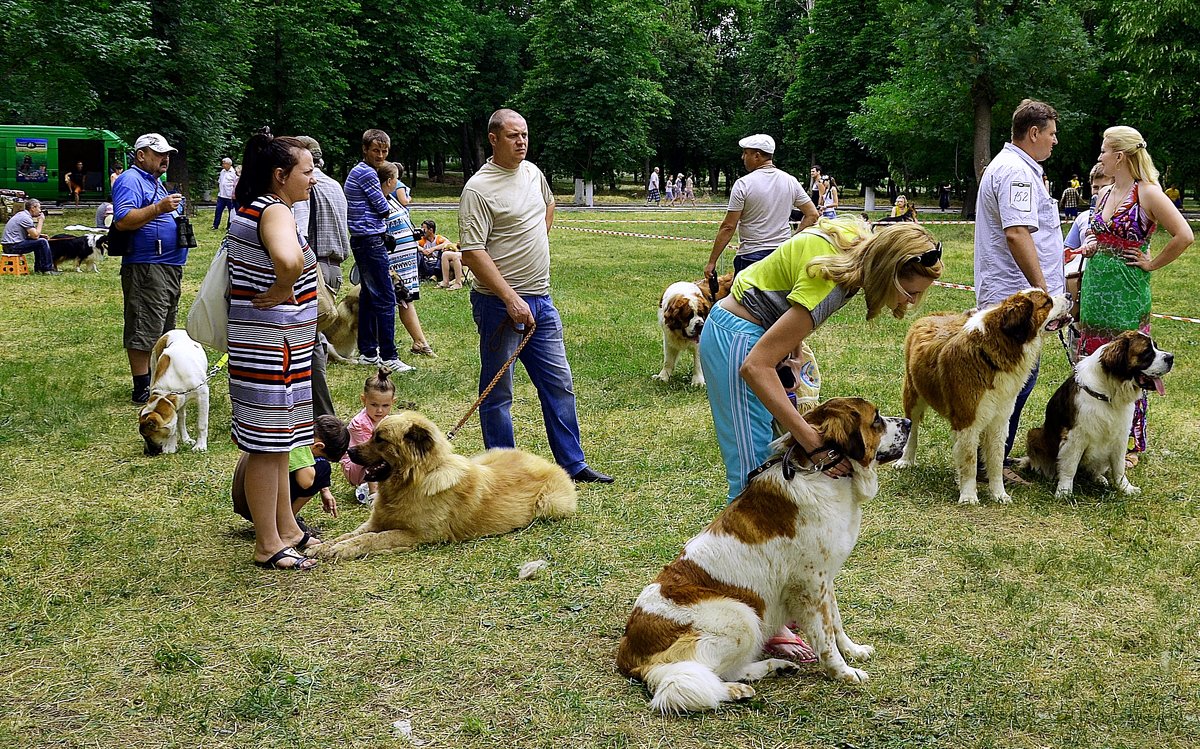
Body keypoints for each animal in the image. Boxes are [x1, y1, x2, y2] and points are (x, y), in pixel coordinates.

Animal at [137, 328, 210, 456]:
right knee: (181, 418)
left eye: (147, 436)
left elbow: (201, 424)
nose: (146, 452)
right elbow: (176, 423)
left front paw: (200, 446)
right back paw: (185, 439)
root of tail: (176, 330)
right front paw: (171, 446)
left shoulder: (203, 395)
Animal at [312, 410, 578, 561]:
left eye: (380, 439)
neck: (413, 480)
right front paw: (324, 547)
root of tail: (549, 464)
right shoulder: (376, 522)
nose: (349, 452)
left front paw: (340, 550)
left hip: (550, 505)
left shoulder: (418, 534)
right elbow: (352, 534)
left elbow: (373, 539)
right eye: (372, 434)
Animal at [619, 398, 907, 715]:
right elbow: (825, 637)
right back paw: (733, 690)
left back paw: (774, 668)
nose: (907, 423)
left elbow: (836, 622)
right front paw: (843, 672)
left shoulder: (824, 578)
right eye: (877, 419)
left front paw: (853, 650)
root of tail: (629, 654)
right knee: (682, 678)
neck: (821, 474)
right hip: (740, 617)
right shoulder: (809, 585)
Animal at [897, 289, 1075, 506]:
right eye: (1047, 302)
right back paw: (906, 460)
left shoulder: (999, 420)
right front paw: (968, 496)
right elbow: (969, 461)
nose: (1069, 295)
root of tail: (931, 315)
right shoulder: (967, 420)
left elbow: (996, 460)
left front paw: (999, 494)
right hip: (912, 395)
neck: (992, 354)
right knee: (912, 429)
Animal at [1017, 328, 1176, 496]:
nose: (1171, 357)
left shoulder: (1120, 437)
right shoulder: (1075, 436)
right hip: (1034, 434)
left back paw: (1099, 478)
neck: (1108, 393)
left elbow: (1119, 467)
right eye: (1147, 352)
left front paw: (1125, 487)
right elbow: (1069, 467)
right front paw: (1064, 492)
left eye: (1156, 347)